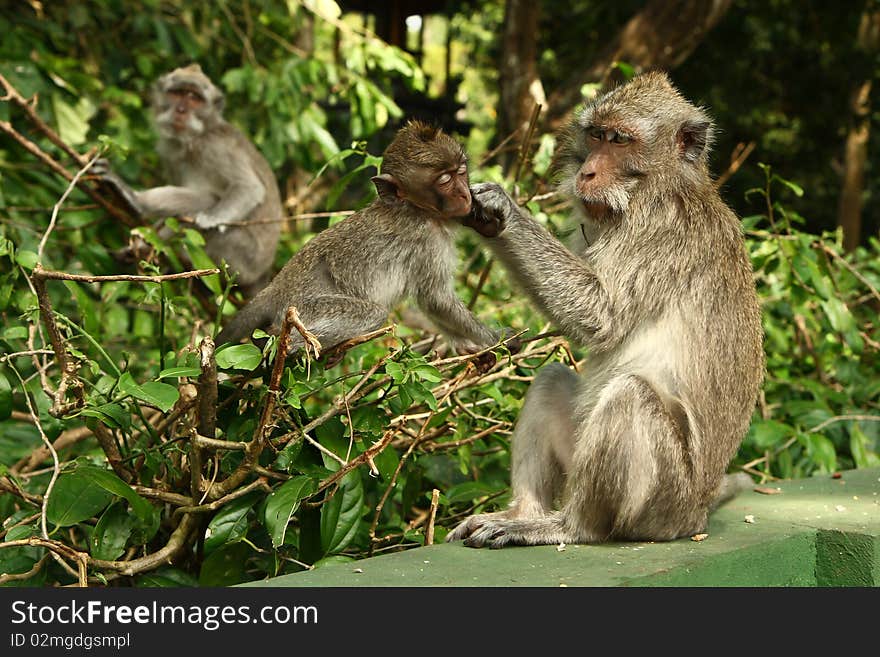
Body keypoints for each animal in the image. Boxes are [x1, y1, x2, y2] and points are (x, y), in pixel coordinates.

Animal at [93, 63, 280, 294]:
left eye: (194, 97)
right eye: (177, 93)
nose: (181, 110)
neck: (193, 139)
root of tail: (263, 273)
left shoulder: (216, 147)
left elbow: (249, 188)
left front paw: (210, 218)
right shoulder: (170, 153)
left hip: (239, 256)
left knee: (206, 201)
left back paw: (136, 203)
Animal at [216, 116, 502, 354]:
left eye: (461, 171)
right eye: (444, 180)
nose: (464, 195)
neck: (418, 209)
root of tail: (277, 287)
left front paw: (464, 344)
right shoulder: (429, 241)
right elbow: (436, 300)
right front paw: (497, 338)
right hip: (305, 308)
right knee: (372, 314)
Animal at [446, 69, 764, 544]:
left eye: (620, 140)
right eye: (596, 135)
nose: (587, 171)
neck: (659, 184)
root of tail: (696, 514)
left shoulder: (659, 230)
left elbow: (601, 317)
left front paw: (503, 209)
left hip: (663, 500)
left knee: (629, 396)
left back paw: (568, 526)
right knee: (552, 380)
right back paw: (524, 511)